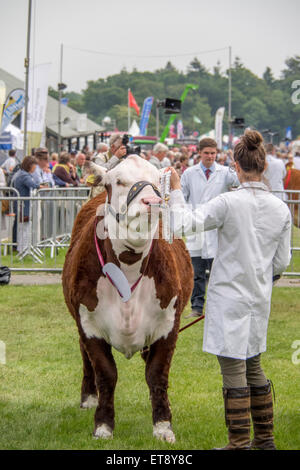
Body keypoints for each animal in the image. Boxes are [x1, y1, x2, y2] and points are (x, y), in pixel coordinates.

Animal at [62, 155, 193, 444]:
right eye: (120, 180)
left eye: (158, 182)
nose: (153, 201)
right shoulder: (89, 325)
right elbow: (106, 374)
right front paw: (103, 425)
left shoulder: (168, 324)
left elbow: (157, 374)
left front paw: (163, 425)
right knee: (84, 357)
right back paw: (88, 398)